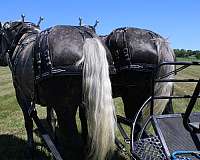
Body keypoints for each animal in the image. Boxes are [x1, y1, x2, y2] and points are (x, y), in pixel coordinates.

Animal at [0, 20, 115, 160]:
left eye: (0, 36)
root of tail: (86, 37)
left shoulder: (21, 95)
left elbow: (28, 122)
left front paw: (30, 149)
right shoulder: (49, 100)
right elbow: (51, 119)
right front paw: (54, 142)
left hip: (65, 109)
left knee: (73, 139)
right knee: (85, 129)